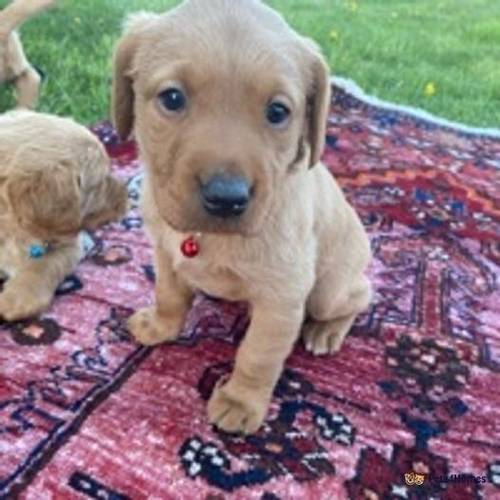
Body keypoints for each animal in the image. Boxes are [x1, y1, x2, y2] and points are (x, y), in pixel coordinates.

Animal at [113, 0, 372, 434]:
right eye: (172, 98)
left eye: (278, 111)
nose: (226, 198)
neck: (209, 237)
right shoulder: (164, 253)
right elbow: (169, 294)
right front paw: (161, 326)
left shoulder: (283, 295)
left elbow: (257, 354)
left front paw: (241, 401)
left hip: (328, 290)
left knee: (360, 295)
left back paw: (327, 330)